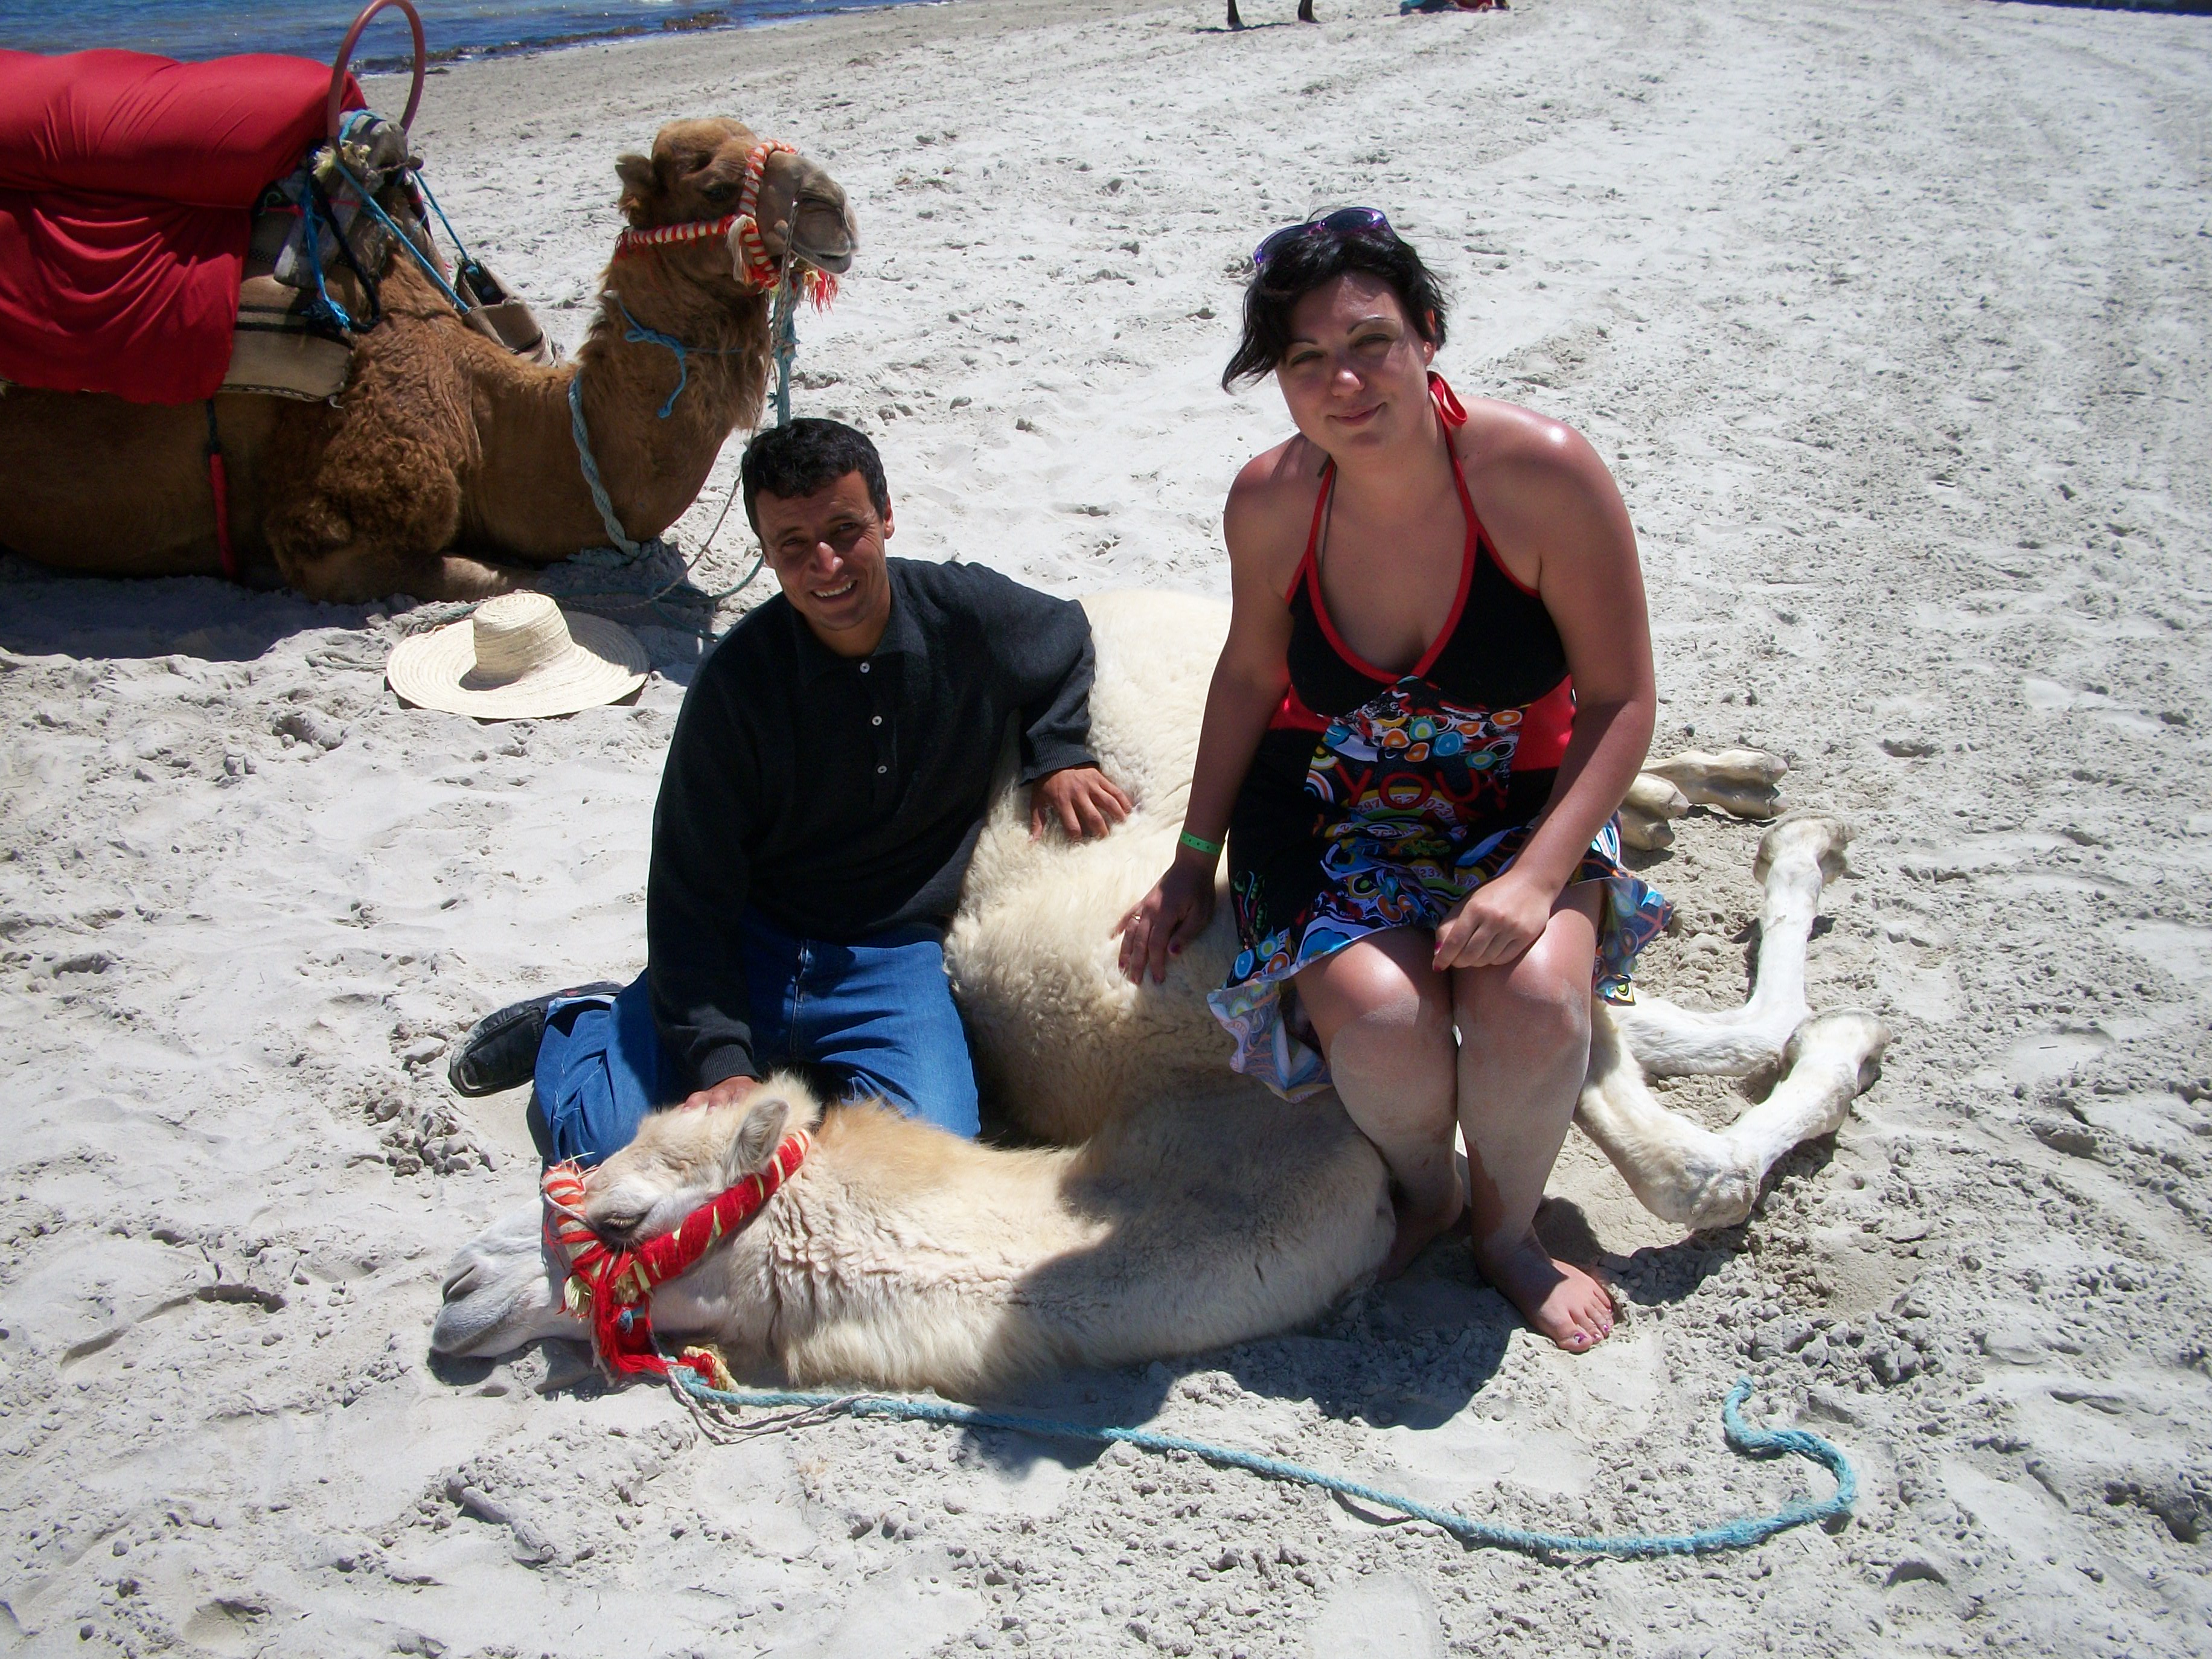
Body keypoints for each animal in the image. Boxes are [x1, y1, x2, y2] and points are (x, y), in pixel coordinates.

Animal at [431, 590, 1888, 1396]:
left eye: (619, 1215)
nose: (454, 1289)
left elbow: (1685, 1165)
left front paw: (1845, 1014)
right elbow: (1675, 1090)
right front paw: (1838, 1020)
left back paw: (1742, 799)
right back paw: (1713, 805)